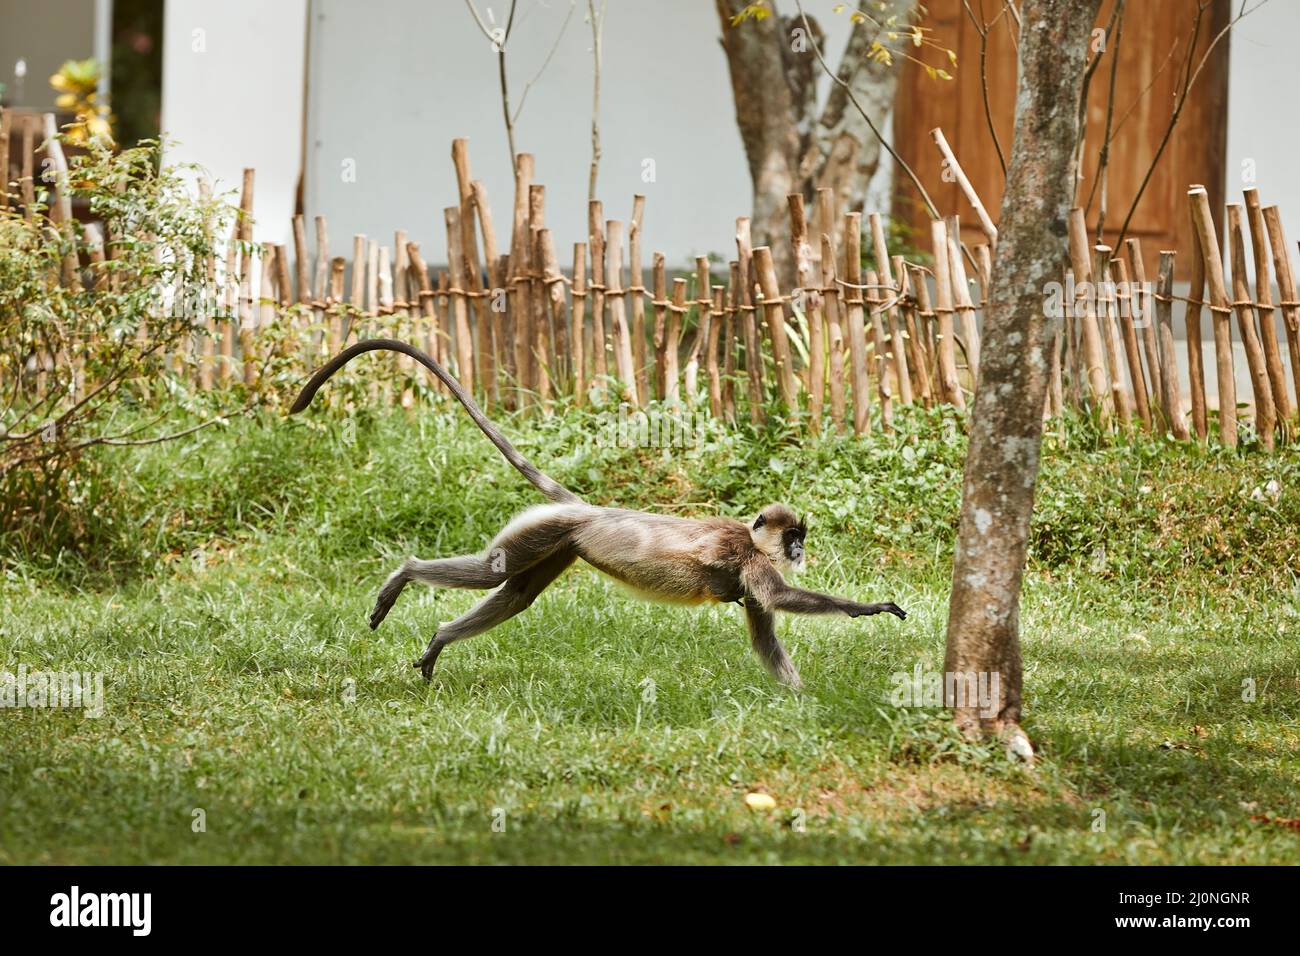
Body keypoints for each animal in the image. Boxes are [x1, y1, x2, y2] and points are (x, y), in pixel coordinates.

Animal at [290, 339, 906, 688]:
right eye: (792, 537)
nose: (799, 549)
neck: (750, 540)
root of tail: (589, 510)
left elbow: (765, 635)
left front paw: (799, 701)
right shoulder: (746, 558)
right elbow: (779, 598)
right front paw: (868, 609)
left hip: (559, 543)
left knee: (516, 594)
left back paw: (440, 638)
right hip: (548, 530)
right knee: (493, 573)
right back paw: (405, 574)